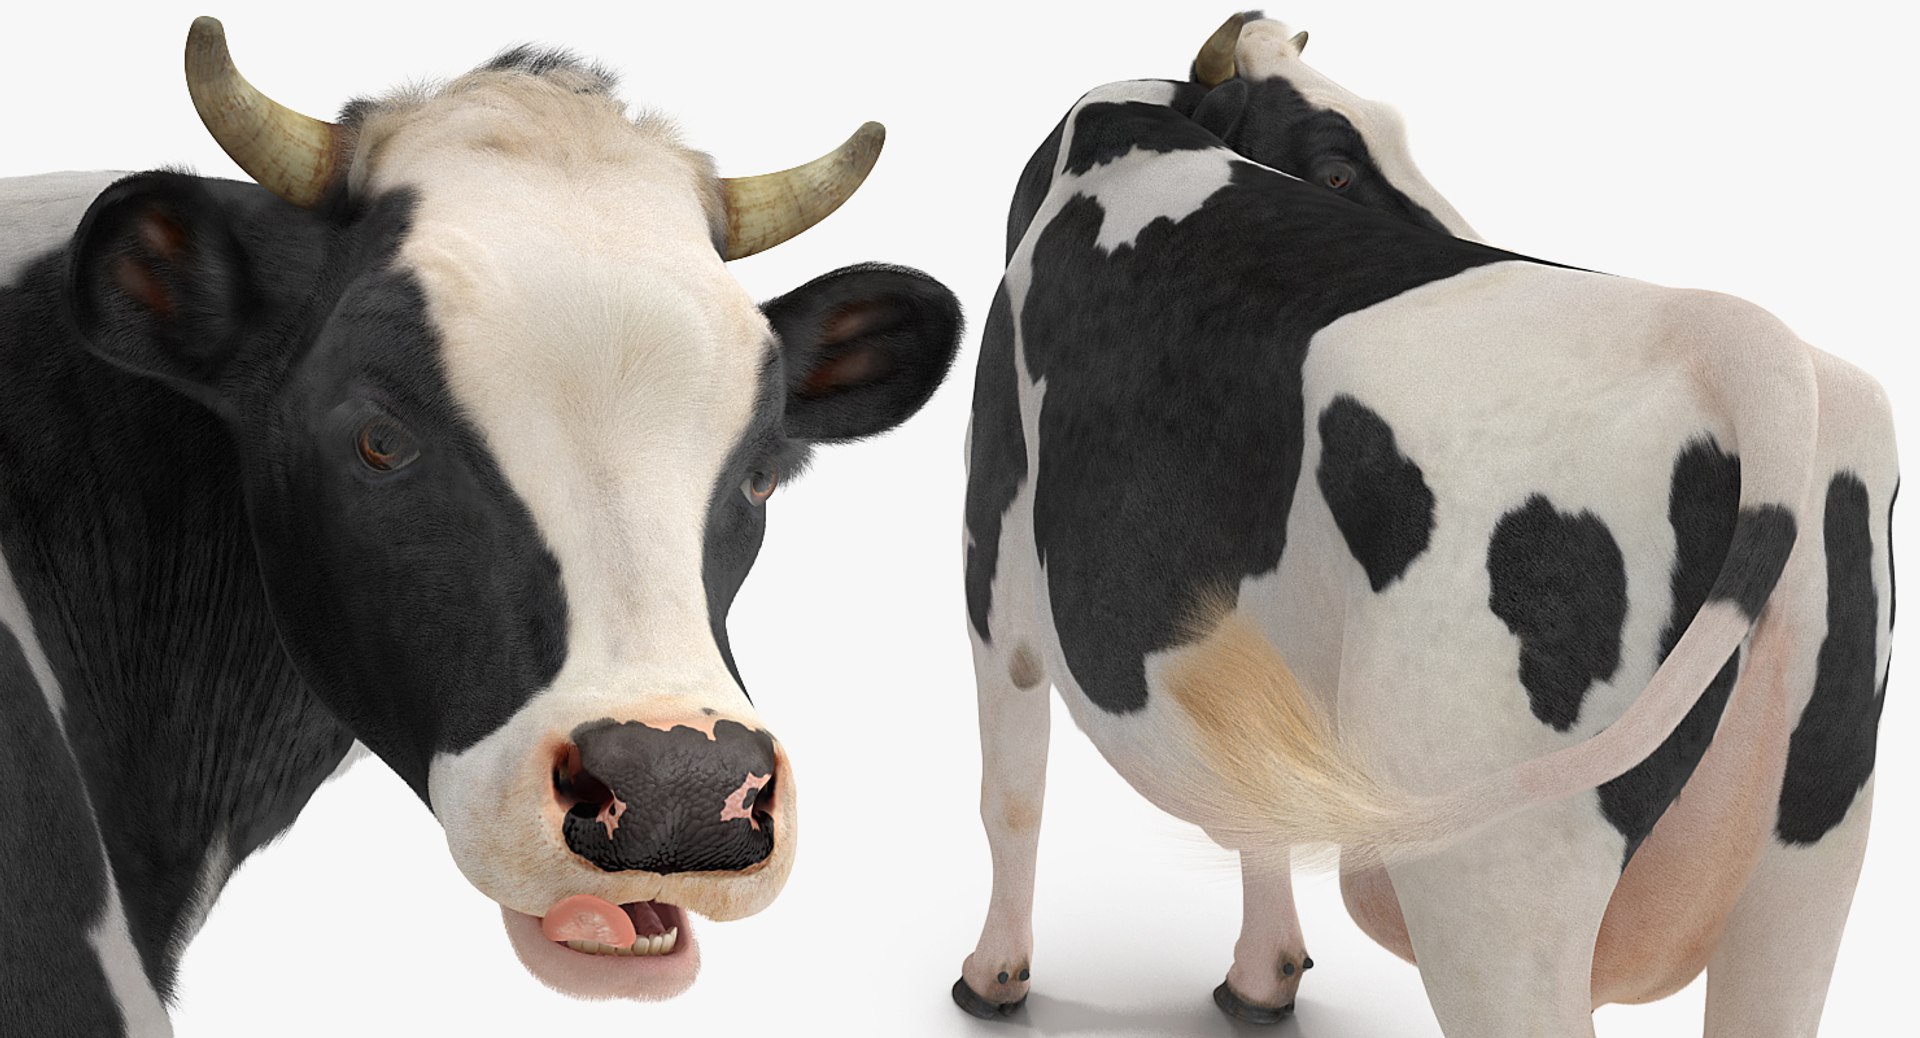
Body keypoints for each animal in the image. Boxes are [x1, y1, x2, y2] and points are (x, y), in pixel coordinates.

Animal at [953, 12, 1894, 1036]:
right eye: (1335, 170)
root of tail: (1734, 338)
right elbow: (1252, 792)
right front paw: (1263, 980)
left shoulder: (993, 557)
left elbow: (1010, 793)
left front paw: (993, 976)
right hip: (1809, 861)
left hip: (1494, 878)